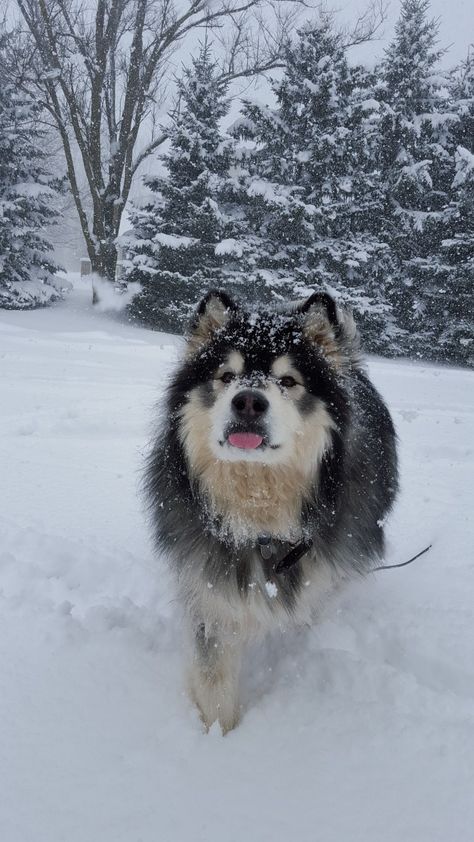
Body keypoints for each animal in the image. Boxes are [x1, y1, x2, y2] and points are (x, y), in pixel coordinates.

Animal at [146, 288, 398, 728]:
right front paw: (217, 735)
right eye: (226, 376)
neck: (259, 521)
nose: (248, 402)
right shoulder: (210, 591)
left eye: (288, 381)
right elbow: (214, 679)